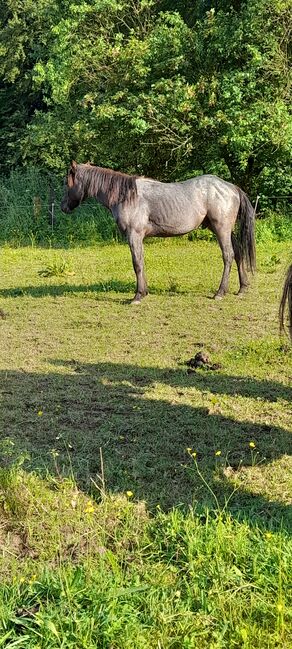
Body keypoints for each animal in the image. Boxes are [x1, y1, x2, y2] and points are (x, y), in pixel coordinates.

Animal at [61, 162, 256, 304]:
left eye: (67, 183)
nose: (63, 207)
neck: (127, 196)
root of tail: (232, 188)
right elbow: (141, 262)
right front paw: (144, 292)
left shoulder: (134, 236)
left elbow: (137, 263)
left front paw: (137, 296)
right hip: (226, 231)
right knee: (238, 253)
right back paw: (242, 288)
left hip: (221, 229)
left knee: (228, 255)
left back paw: (220, 292)